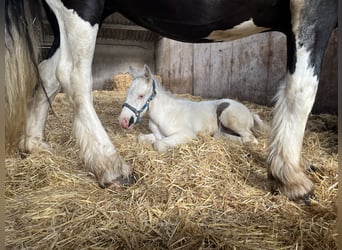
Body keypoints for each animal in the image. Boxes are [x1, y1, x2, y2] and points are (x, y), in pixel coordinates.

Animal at [119, 64, 268, 151]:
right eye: (128, 93)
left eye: (141, 96)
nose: (123, 121)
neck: (165, 114)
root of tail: (249, 112)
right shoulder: (158, 135)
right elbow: (142, 138)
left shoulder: (186, 134)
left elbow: (159, 144)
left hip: (229, 117)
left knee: (250, 139)